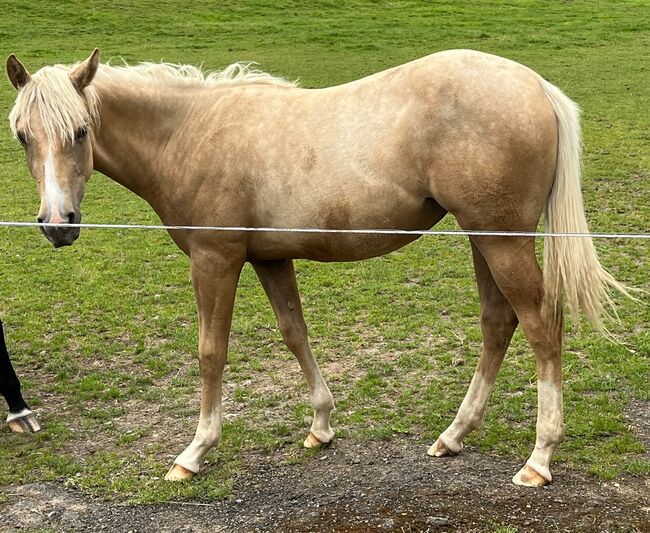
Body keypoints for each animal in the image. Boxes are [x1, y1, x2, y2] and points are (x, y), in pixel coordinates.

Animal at [6, 48, 628, 487]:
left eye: (81, 131)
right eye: (22, 136)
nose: (58, 223)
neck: (189, 131)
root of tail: (534, 85)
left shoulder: (215, 261)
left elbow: (211, 354)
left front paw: (194, 452)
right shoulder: (270, 258)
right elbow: (294, 333)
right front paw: (321, 427)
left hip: (503, 242)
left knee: (543, 326)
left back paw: (539, 458)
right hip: (484, 241)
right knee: (499, 324)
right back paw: (452, 436)